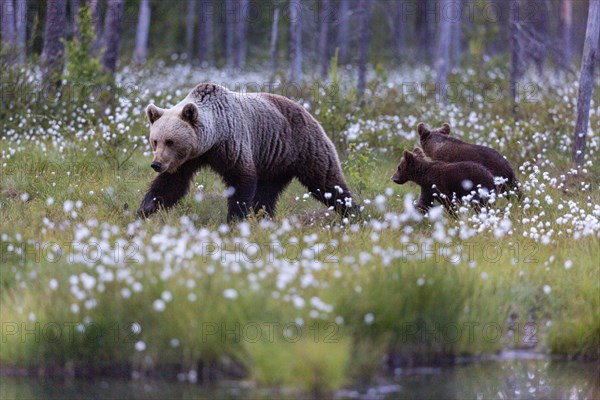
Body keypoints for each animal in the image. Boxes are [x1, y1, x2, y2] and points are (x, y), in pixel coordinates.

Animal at [138, 83, 354, 222]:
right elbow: (170, 185)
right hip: (275, 161)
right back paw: (264, 218)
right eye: (155, 141)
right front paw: (143, 211)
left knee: (327, 183)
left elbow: (241, 180)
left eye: (170, 141)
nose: (156, 164)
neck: (212, 138)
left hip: (304, 146)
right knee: (267, 194)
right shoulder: (188, 158)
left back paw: (354, 214)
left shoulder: (232, 143)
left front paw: (235, 219)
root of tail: (308, 111)